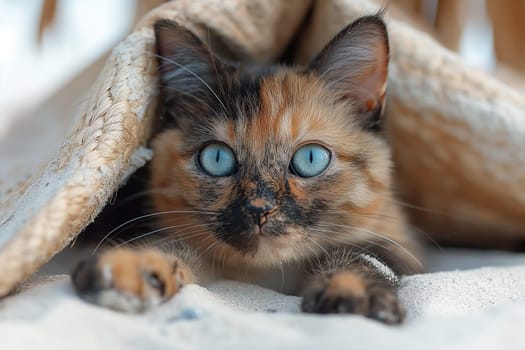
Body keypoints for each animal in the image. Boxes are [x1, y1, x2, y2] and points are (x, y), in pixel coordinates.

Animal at [71, 15, 422, 324]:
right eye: (217, 158)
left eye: (310, 159)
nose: (259, 208)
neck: (270, 276)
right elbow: (168, 246)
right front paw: (127, 269)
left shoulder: (396, 244)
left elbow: (361, 257)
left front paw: (352, 292)